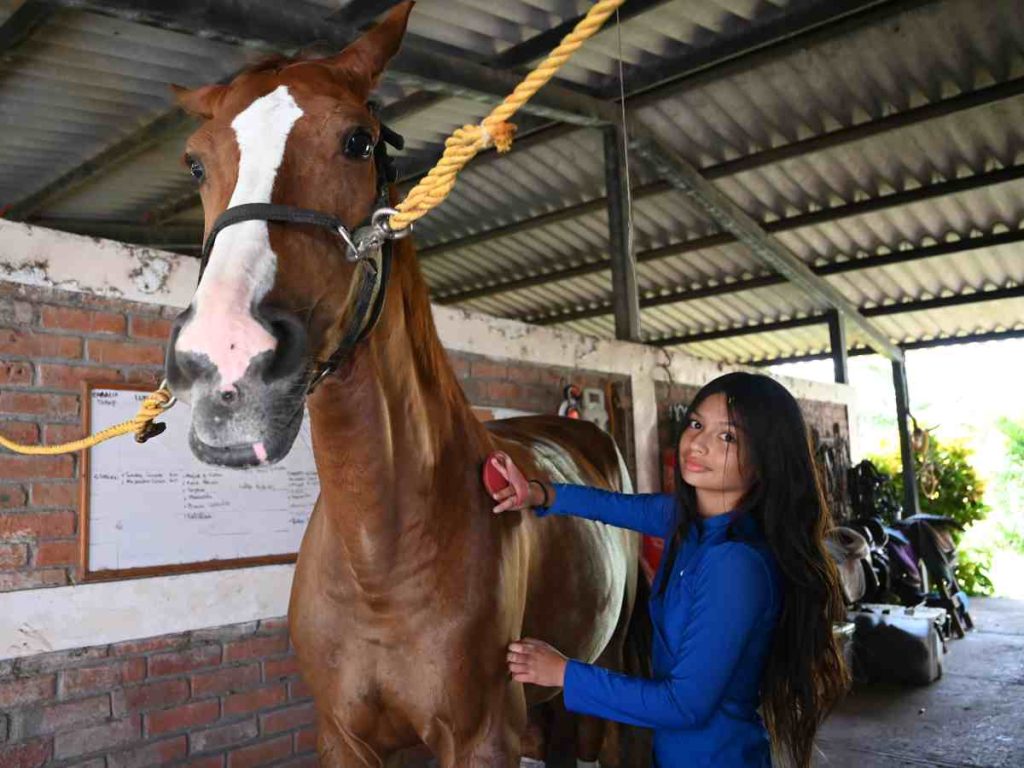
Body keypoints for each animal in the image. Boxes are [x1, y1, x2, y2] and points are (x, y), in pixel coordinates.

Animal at [164, 4, 647, 765]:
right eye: (195, 161)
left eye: (357, 141)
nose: (225, 357)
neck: (380, 563)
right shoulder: (342, 737)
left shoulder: (482, 739)